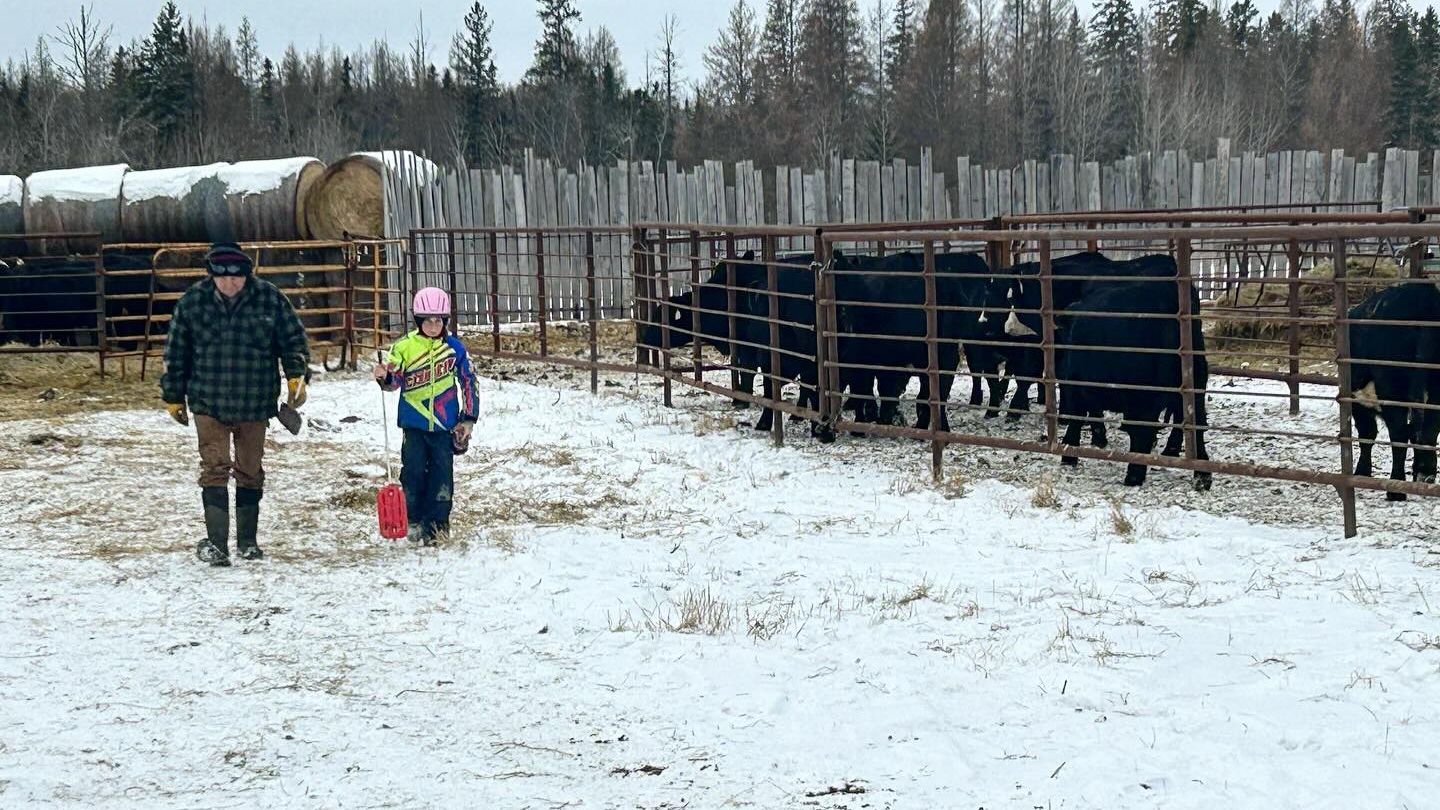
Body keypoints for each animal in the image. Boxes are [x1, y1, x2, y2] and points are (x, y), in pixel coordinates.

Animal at [1052, 276, 1212, 490]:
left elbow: (1078, 416)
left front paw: (1070, 453)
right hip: (1195, 382)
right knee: (1195, 421)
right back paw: (1200, 473)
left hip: (1142, 391)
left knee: (1145, 427)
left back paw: (1135, 473)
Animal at [1347, 280, 1440, 499]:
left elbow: (1367, 434)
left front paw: (1362, 472)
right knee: (1429, 429)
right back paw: (1426, 475)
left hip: (1391, 388)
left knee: (1399, 433)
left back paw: (1396, 488)